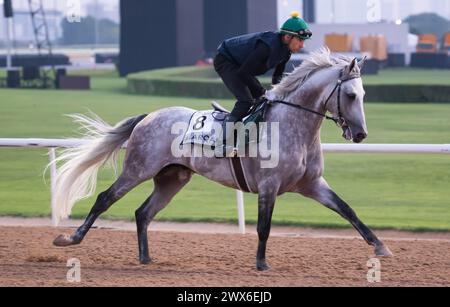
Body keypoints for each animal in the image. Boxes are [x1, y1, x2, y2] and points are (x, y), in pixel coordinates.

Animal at [51, 47, 390, 270]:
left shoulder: (312, 184)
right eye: (350, 95)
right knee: (105, 199)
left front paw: (380, 246)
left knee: (143, 212)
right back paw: (71, 238)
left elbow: (347, 210)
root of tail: (148, 116)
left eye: (364, 95)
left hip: (172, 178)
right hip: (138, 168)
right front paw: (261, 264)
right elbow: (263, 226)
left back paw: (146, 257)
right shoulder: (269, 186)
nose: (360, 134)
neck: (293, 125)